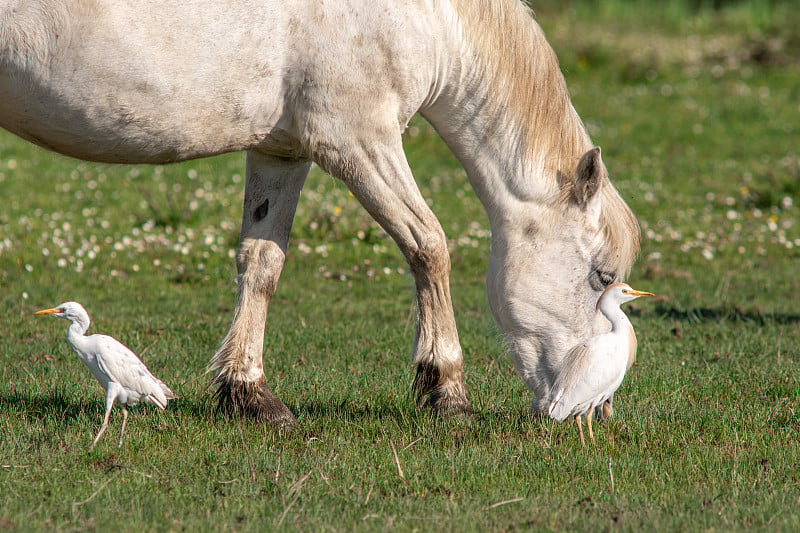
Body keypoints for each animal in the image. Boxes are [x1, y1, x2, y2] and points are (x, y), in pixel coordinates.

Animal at [0, 1, 636, 424]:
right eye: (601, 276)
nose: (599, 405)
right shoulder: (360, 142)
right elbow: (429, 247)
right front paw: (445, 390)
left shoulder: (282, 152)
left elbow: (261, 264)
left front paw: (248, 393)